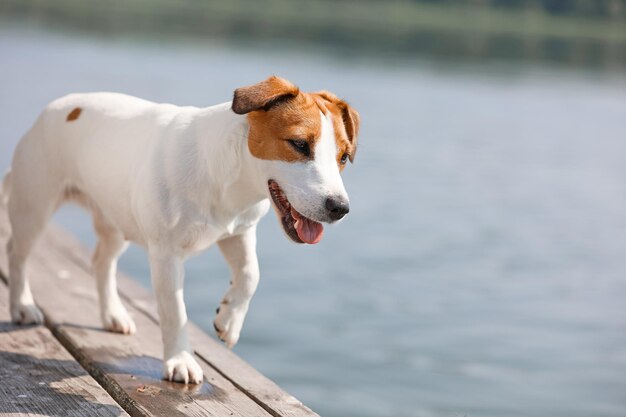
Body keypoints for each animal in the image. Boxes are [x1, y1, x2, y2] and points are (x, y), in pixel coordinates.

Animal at [2, 75, 358, 384]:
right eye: (299, 144)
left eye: (343, 157)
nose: (340, 208)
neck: (229, 178)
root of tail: (59, 105)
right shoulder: (166, 254)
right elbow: (175, 311)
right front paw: (181, 361)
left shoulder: (238, 233)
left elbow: (250, 275)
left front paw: (229, 321)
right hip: (34, 205)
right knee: (17, 253)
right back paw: (22, 306)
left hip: (115, 216)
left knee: (102, 262)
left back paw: (113, 315)